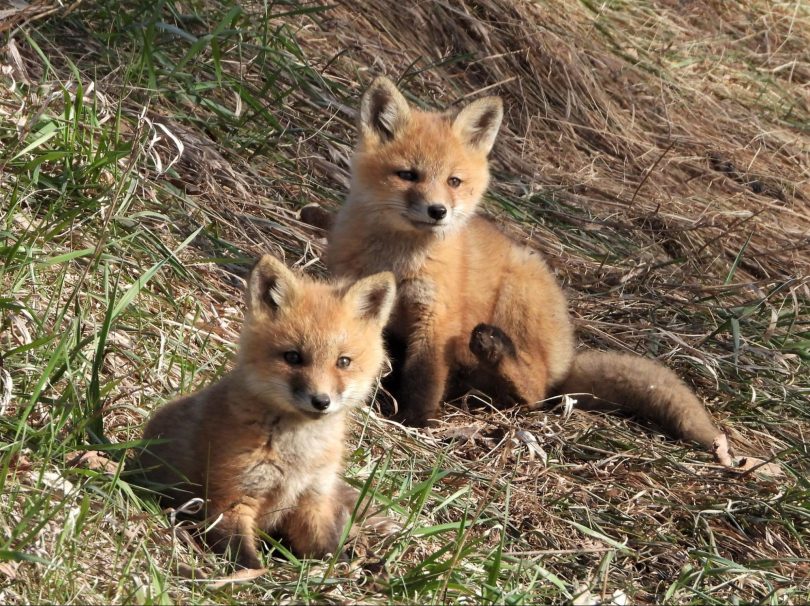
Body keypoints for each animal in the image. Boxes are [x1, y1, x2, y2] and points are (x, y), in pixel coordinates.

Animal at [136, 254, 396, 570]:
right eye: (293, 357)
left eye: (343, 362)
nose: (321, 401)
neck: (297, 455)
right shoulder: (233, 497)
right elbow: (245, 557)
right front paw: (249, 575)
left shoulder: (313, 498)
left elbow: (327, 550)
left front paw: (339, 569)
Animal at [326, 76, 724, 454]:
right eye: (408, 175)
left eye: (454, 181)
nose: (438, 211)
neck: (398, 260)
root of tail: (567, 360)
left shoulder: (437, 316)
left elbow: (424, 377)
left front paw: (416, 422)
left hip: (516, 299)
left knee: (535, 393)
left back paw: (498, 358)